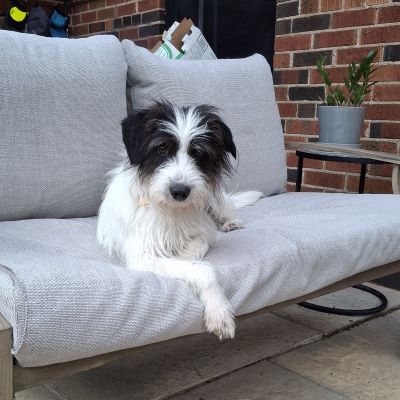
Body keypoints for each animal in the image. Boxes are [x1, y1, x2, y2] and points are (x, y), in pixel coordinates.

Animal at [97, 102, 262, 339]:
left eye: (198, 153)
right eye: (162, 149)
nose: (179, 191)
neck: (172, 210)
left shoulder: (202, 232)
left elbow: (199, 249)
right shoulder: (143, 256)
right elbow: (203, 269)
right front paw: (219, 312)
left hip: (215, 202)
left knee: (226, 210)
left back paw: (231, 222)